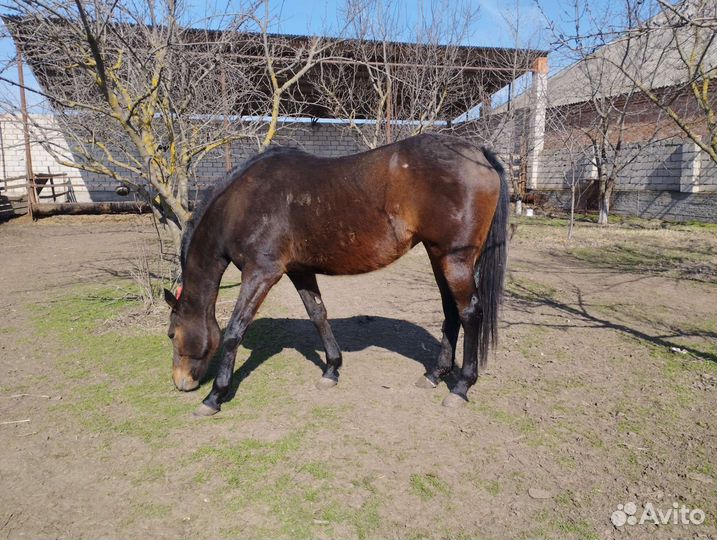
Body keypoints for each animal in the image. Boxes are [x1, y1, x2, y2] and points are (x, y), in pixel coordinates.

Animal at [163, 133, 509, 416]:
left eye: (171, 334)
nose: (180, 382)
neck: (240, 203)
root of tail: (478, 153)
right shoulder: (299, 271)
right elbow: (318, 314)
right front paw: (331, 369)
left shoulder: (261, 272)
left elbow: (236, 329)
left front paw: (214, 397)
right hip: (438, 255)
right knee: (451, 311)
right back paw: (435, 375)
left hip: (456, 258)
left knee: (469, 313)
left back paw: (461, 387)